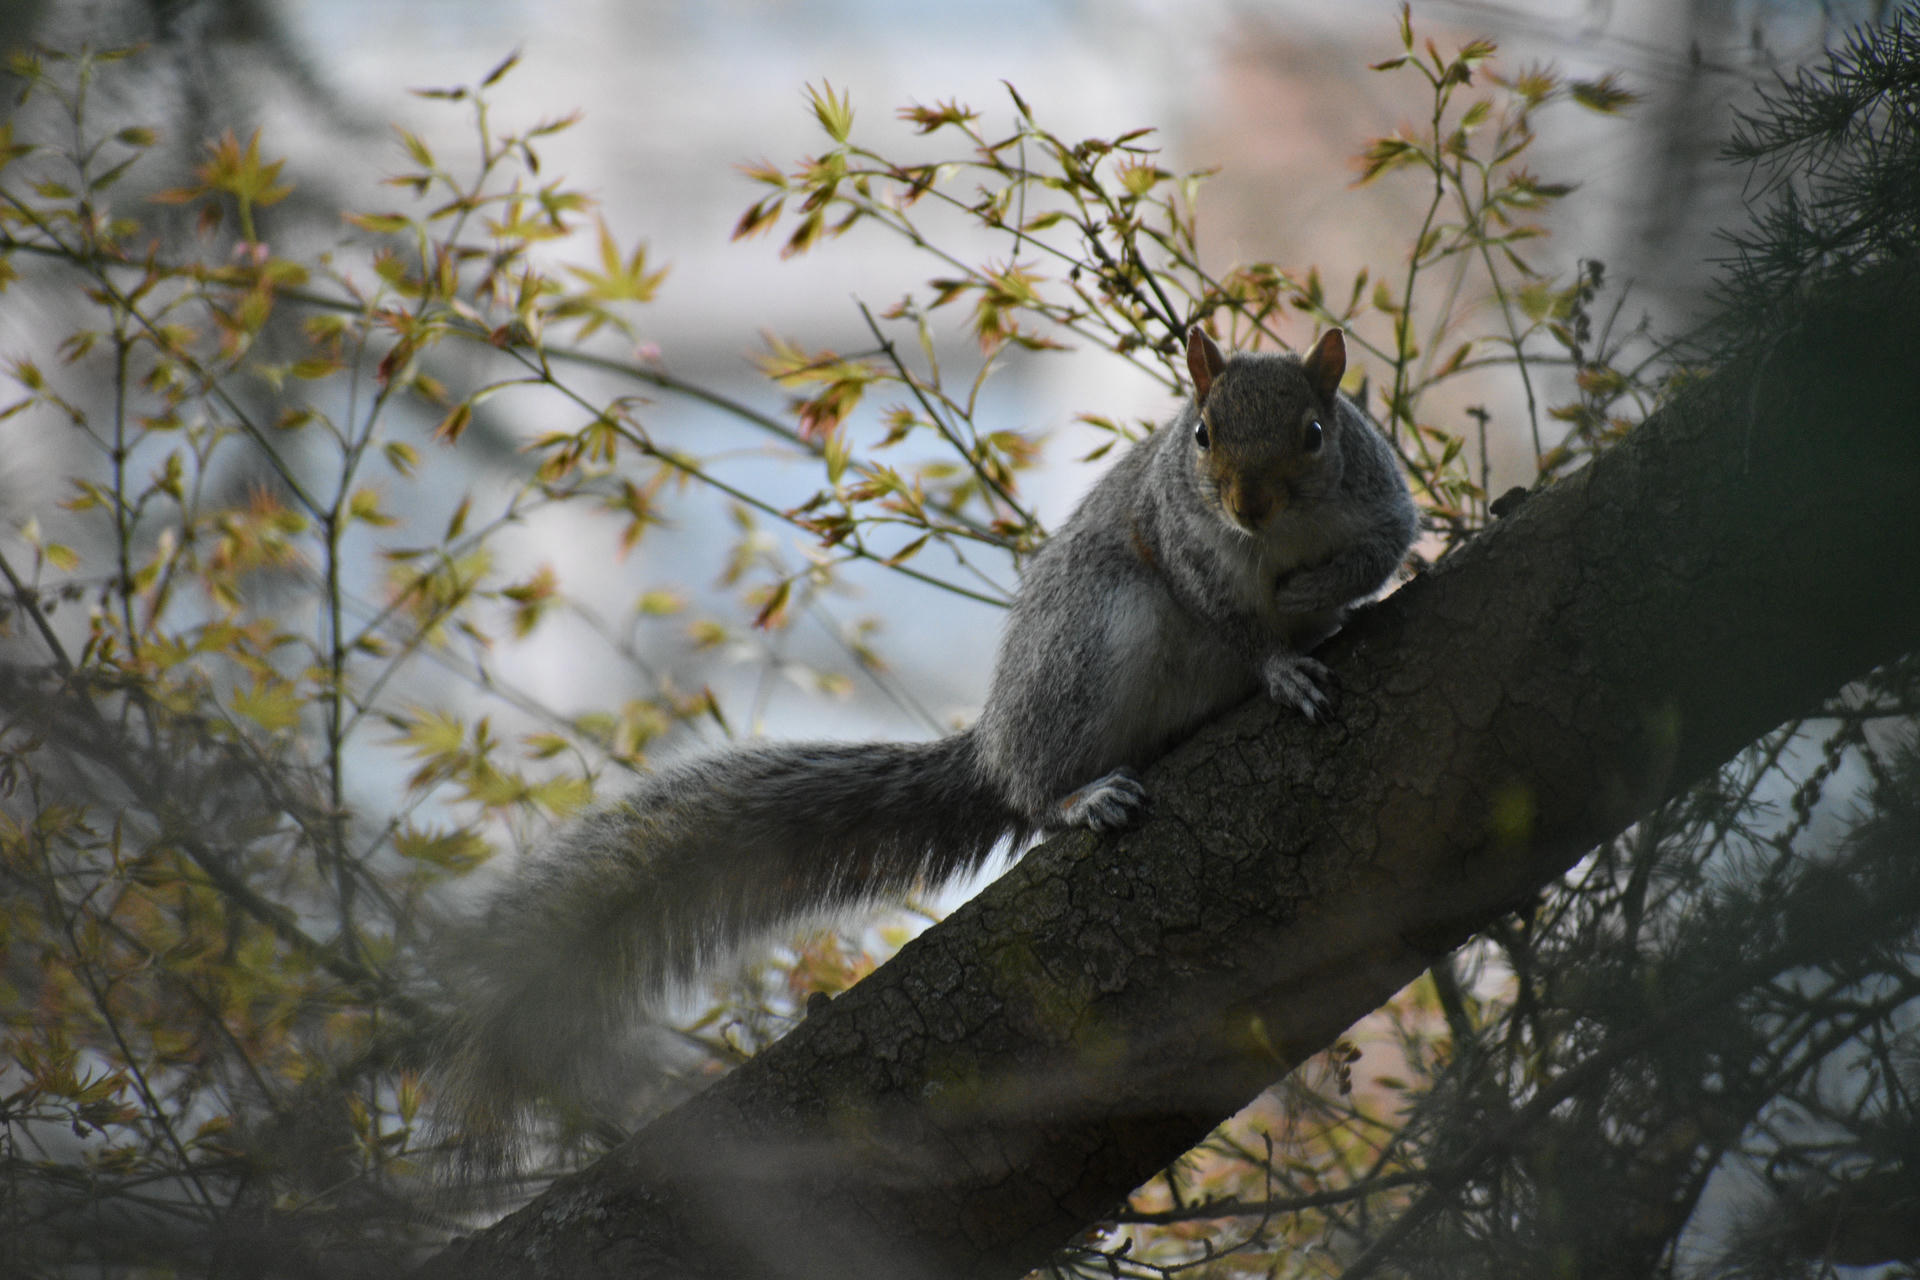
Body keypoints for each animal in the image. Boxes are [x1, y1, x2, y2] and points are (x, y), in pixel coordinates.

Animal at [435, 326, 1419, 1160]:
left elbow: (1380, 552)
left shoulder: (1380, 507)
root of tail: (995, 742)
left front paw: (1319, 598)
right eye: (1204, 434)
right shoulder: (1181, 543)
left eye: (1317, 432)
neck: (1277, 538)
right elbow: (1231, 619)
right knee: (1037, 789)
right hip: (1092, 636)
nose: (1249, 507)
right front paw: (1282, 663)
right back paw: (1079, 796)